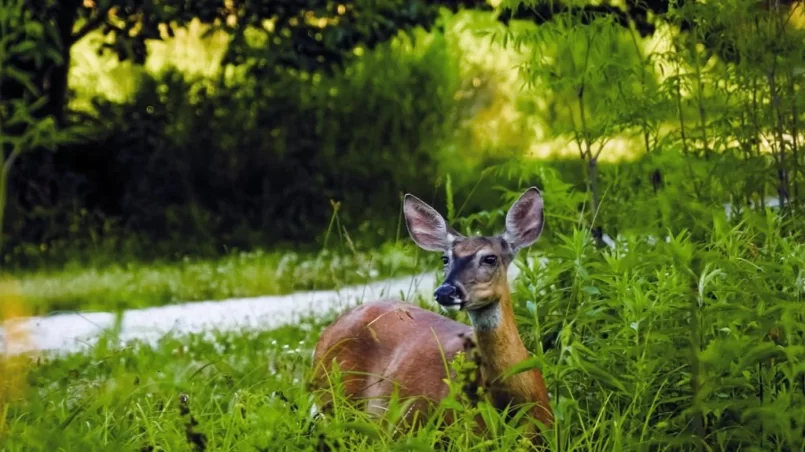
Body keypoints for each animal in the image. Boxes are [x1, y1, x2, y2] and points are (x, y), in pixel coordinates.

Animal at [308, 185, 552, 444]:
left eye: (490, 258)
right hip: (333, 398)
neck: (512, 399)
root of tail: (329, 329)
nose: (446, 291)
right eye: (445, 258)